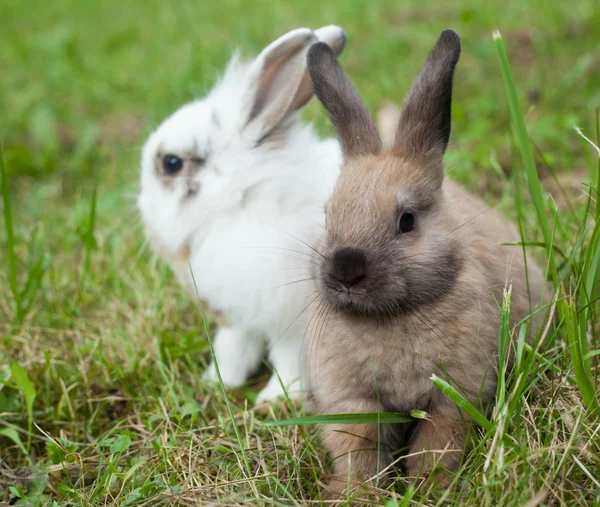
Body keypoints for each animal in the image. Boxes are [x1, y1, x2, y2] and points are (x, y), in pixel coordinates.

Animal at [135, 25, 342, 404]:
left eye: (171, 163)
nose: (143, 209)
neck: (240, 200)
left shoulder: (292, 321)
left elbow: (288, 360)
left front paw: (275, 398)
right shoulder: (239, 316)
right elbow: (234, 349)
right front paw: (217, 381)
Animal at [304, 29, 548, 498]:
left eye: (407, 221)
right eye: (326, 216)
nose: (345, 271)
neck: (391, 317)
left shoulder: (452, 398)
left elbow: (437, 449)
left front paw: (429, 491)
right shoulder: (353, 402)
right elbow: (357, 452)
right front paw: (353, 495)